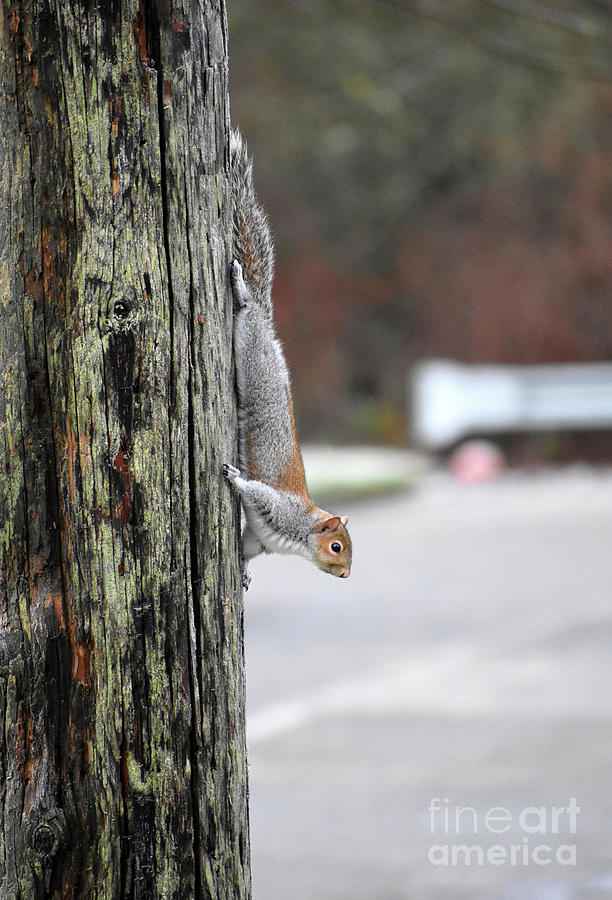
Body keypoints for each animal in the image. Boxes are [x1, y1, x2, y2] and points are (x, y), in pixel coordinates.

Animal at [225, 128, 352, 592]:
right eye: (336, 546)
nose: (346, 575)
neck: (297, 538)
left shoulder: (259, 539)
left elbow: (245, 550)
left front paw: (243, 574)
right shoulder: (276, 508)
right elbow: (253, 490)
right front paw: (233, 476)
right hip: (252, 348)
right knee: (248, 312)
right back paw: (242, 289)